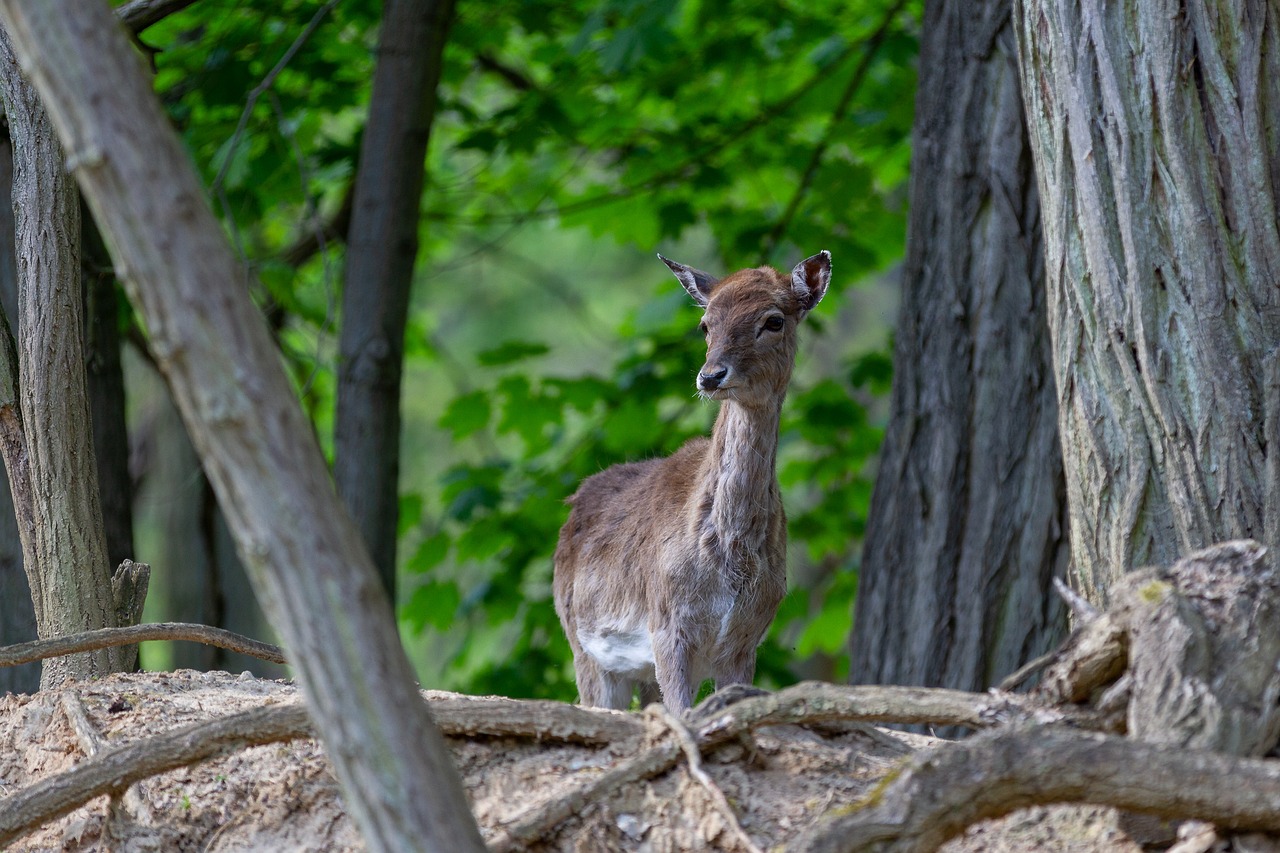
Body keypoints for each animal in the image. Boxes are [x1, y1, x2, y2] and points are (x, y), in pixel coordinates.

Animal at [550, 249, 829, 706]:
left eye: (774, 320)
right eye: (705, 324)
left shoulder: (745, 640)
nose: (711, 375)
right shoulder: (667, 625)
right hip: (583, 646)